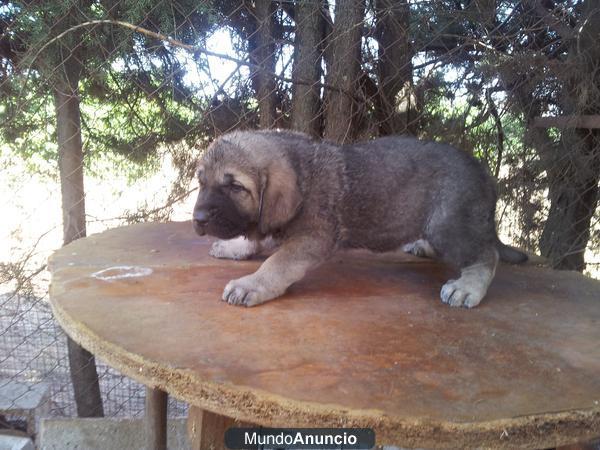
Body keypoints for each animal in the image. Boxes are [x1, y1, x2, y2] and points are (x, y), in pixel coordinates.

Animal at [192, 128, 524, 308]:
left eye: (235, 187)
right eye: (201, 181)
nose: (198, 218)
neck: (302, 171)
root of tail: (483, 172)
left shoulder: (313, 237)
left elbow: (278, 262)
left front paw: (252, 283)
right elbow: (258, 234)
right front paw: (236, 246)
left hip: (449, 223)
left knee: (486, 254)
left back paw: (468, 286)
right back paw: (422, 246)